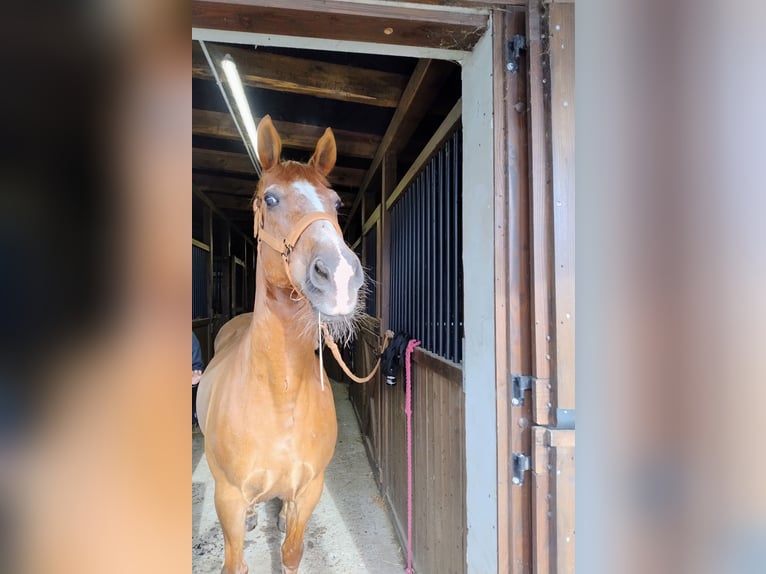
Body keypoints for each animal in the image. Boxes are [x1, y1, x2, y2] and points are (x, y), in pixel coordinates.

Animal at [198, 117, 366, 574]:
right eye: (270, 199)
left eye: (336, 203)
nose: (339, 276)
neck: (280, 396)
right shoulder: (228, 497)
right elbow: (235, 563)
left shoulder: (309, 490)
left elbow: (292, 552)